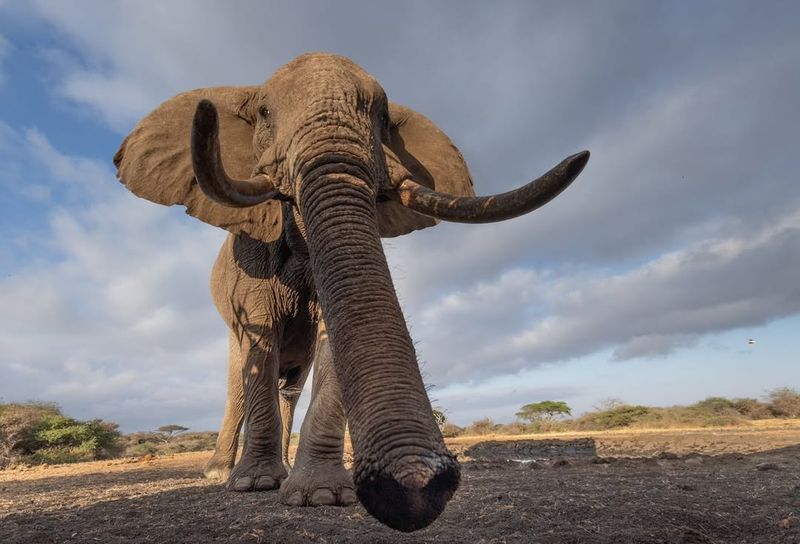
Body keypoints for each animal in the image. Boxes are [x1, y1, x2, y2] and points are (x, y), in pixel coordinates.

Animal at [112, 52, 588, 532]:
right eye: (264, 112)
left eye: (383, 117)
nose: (420, 488)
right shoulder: (251, 257)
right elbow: (261, 342)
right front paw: (255, 485)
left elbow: (333, 336)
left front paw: (318, 495)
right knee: (240, 380)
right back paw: (220, 474)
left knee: (289, 384)